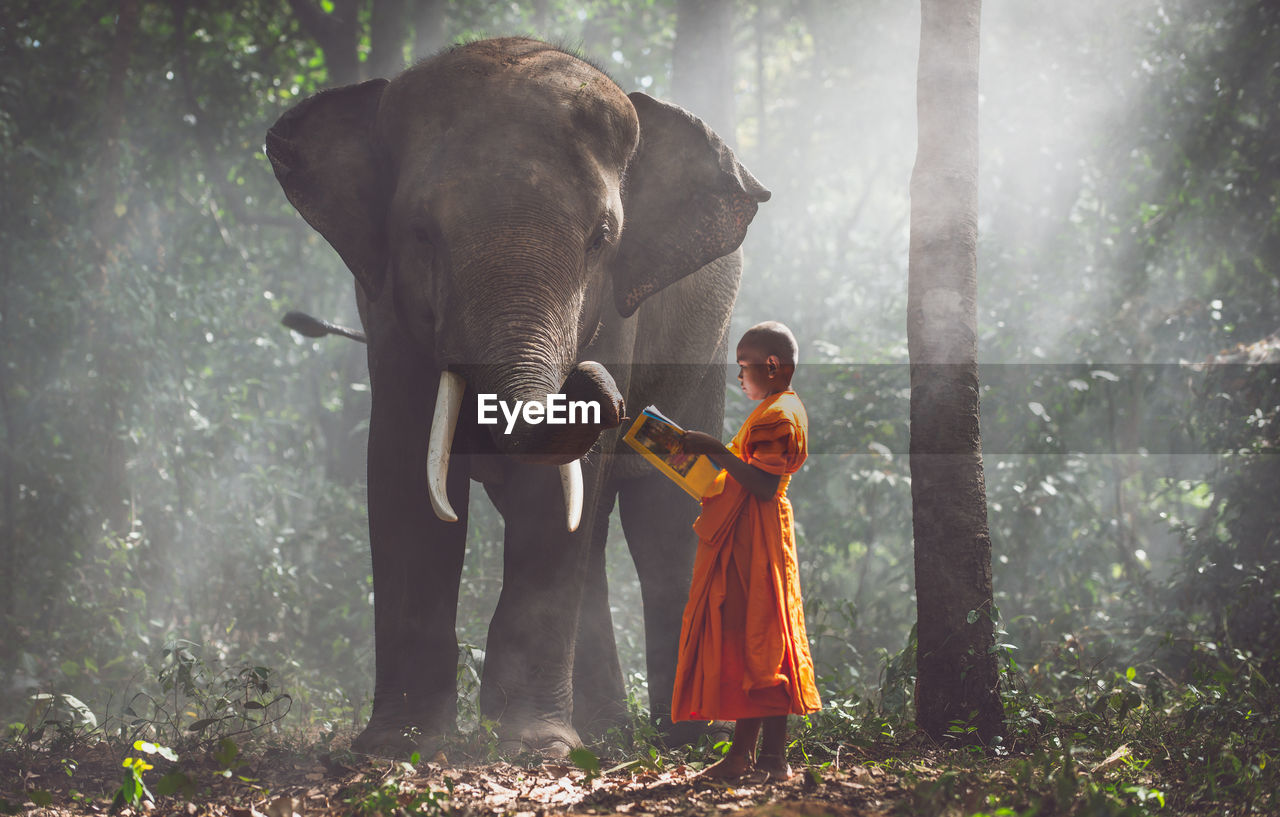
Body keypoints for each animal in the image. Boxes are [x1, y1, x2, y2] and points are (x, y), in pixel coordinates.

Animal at [267, 36, 768, 758]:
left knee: (663, 518)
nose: (605, 391)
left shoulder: (619, 311)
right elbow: (401, 462)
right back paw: (609, 730)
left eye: (602, 239)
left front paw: (533, 744)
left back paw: (692, 738)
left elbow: (556, 497)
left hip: (706, 349)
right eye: (420, 232)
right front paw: (398, 743)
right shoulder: (382, 304)